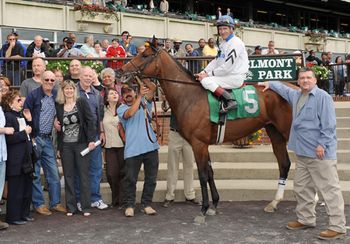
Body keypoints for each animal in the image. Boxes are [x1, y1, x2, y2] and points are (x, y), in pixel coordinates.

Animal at [120, 38, 292, 223]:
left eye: (145, 55)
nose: (121, 71)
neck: (189, 95)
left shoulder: (198, 143)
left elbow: (202, 174)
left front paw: (203, 209)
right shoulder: (204, 144)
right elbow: (210, 172)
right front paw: (214, 205)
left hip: (287, 130)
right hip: (275, 133)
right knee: (284, 164)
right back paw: (274, 203)